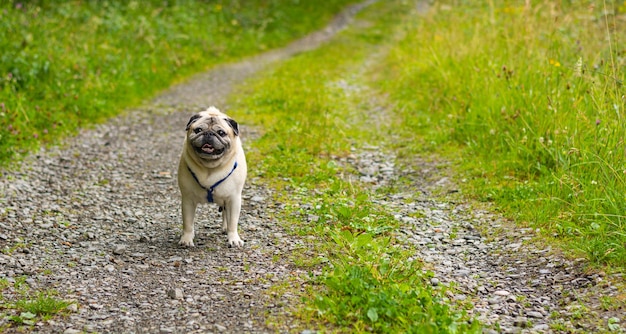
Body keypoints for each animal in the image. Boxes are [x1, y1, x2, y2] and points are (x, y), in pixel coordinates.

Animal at [177, 107, 247, 248]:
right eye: (198, 130)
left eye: (221, 132)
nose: (209, 133)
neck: (210, 168)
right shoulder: (188, 200)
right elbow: (188, 222)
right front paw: (187, 239)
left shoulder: (234, 199)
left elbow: (233, 222)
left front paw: (233, 239)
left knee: (226, 214)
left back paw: (225, 228)